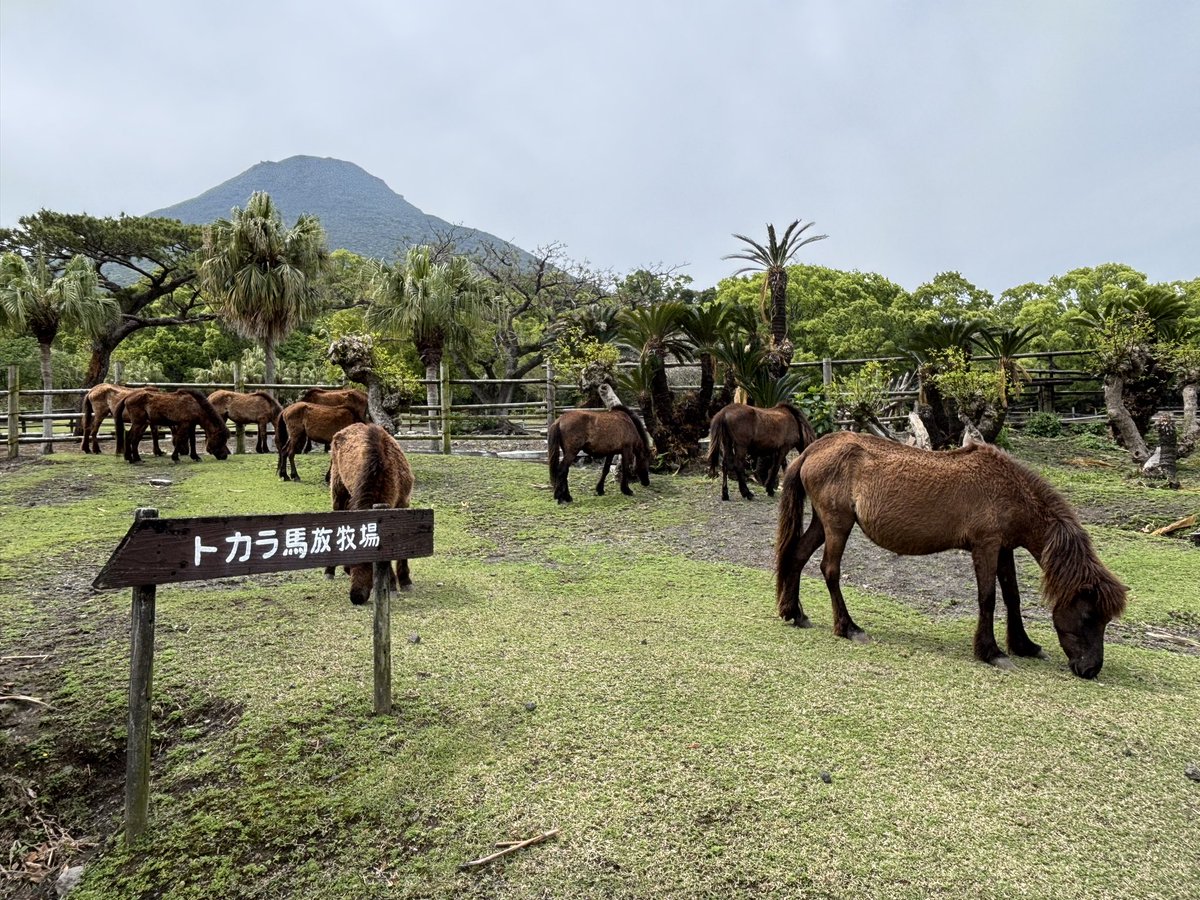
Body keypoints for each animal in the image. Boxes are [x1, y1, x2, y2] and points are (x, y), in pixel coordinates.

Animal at [325, 423, 415, 604]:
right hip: (338, 491)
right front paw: (392, 584)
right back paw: (330, 571)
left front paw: (404, 581)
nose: (356, 596)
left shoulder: (403, 503)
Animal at [774, 432, 1128, 679]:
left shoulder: (1004, 548)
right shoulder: (986, 546)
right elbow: (988, 598)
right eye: (1089, 616)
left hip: (822, 523)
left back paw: (795, 613)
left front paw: (1024, 645)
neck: (1010, 489)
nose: (1091, 669)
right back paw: (849, 628)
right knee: (830, 570)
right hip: (838, 524)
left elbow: (1012, 597)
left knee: (797, 557)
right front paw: (991, 652)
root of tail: (812, 449)